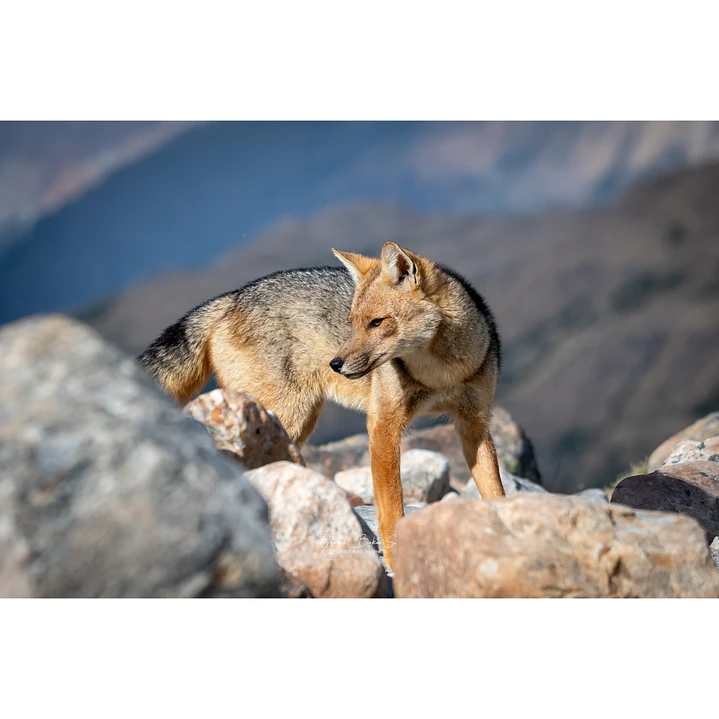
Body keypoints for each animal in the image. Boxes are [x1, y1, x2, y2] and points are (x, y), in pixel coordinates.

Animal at [138, 243, 505, 569]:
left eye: (376, 322)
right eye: (352, 322)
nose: (336, 364)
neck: (439, 376)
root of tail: (230, 297)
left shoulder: (474, 425)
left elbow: (495, 492)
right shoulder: (383, 425)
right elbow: (390, 508)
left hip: (295, 426)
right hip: (283, 419)